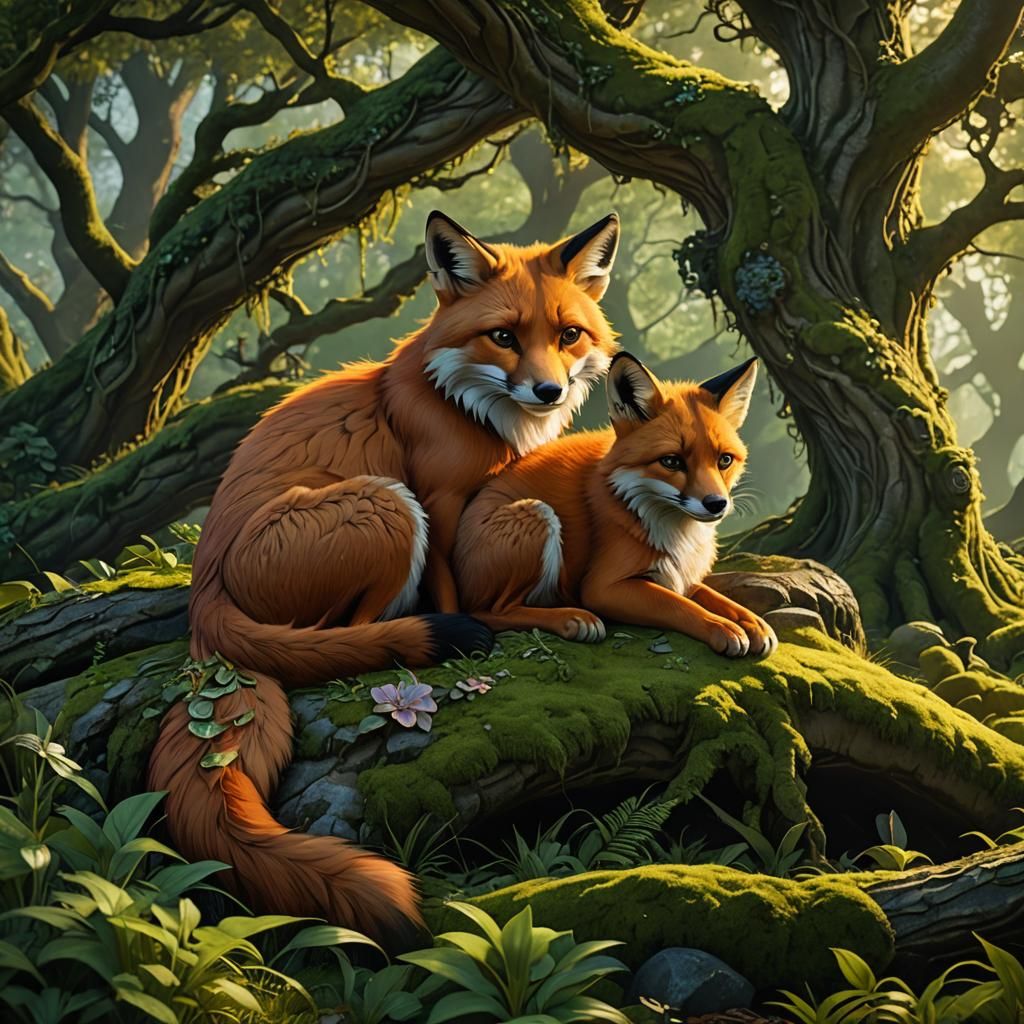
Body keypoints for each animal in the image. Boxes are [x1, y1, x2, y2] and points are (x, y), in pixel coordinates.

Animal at [148, 210, 621, 949]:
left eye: (568, 335)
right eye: (504, 336)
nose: (549, 392)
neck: (461, 400)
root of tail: (205, 602)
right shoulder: (439, 497)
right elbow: (460, 592)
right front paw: (488, 631)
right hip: (388, 506)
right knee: (354, 635)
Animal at [453, 352, 778, 658]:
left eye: (724, 460)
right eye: (671, 461)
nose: (716, 504)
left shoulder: (678, 573)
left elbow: (712, 596)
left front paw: (752, 622)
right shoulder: (604, 587)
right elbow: (680, 606)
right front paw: (723, 627)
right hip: (537, 516)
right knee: (491, 613)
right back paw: (571, 618)